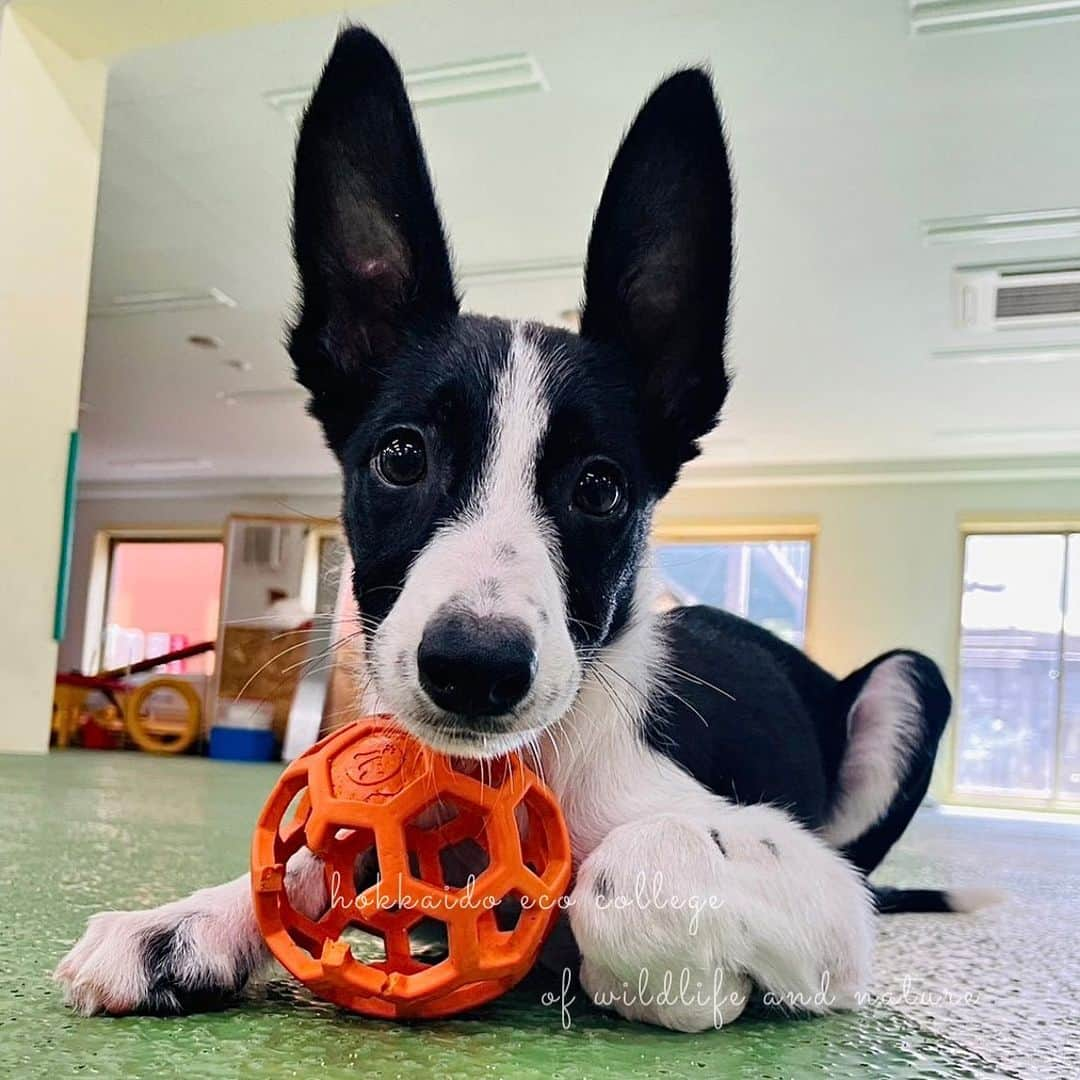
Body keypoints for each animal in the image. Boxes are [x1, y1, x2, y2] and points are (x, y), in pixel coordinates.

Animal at [56, 29, 989, 1032]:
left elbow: (630, 872)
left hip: (909, 685)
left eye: (600, 487)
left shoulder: (828, 905)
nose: (475, 667)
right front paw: (186, 921)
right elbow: (300, 862)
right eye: (401, 457)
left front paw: (669, 976)